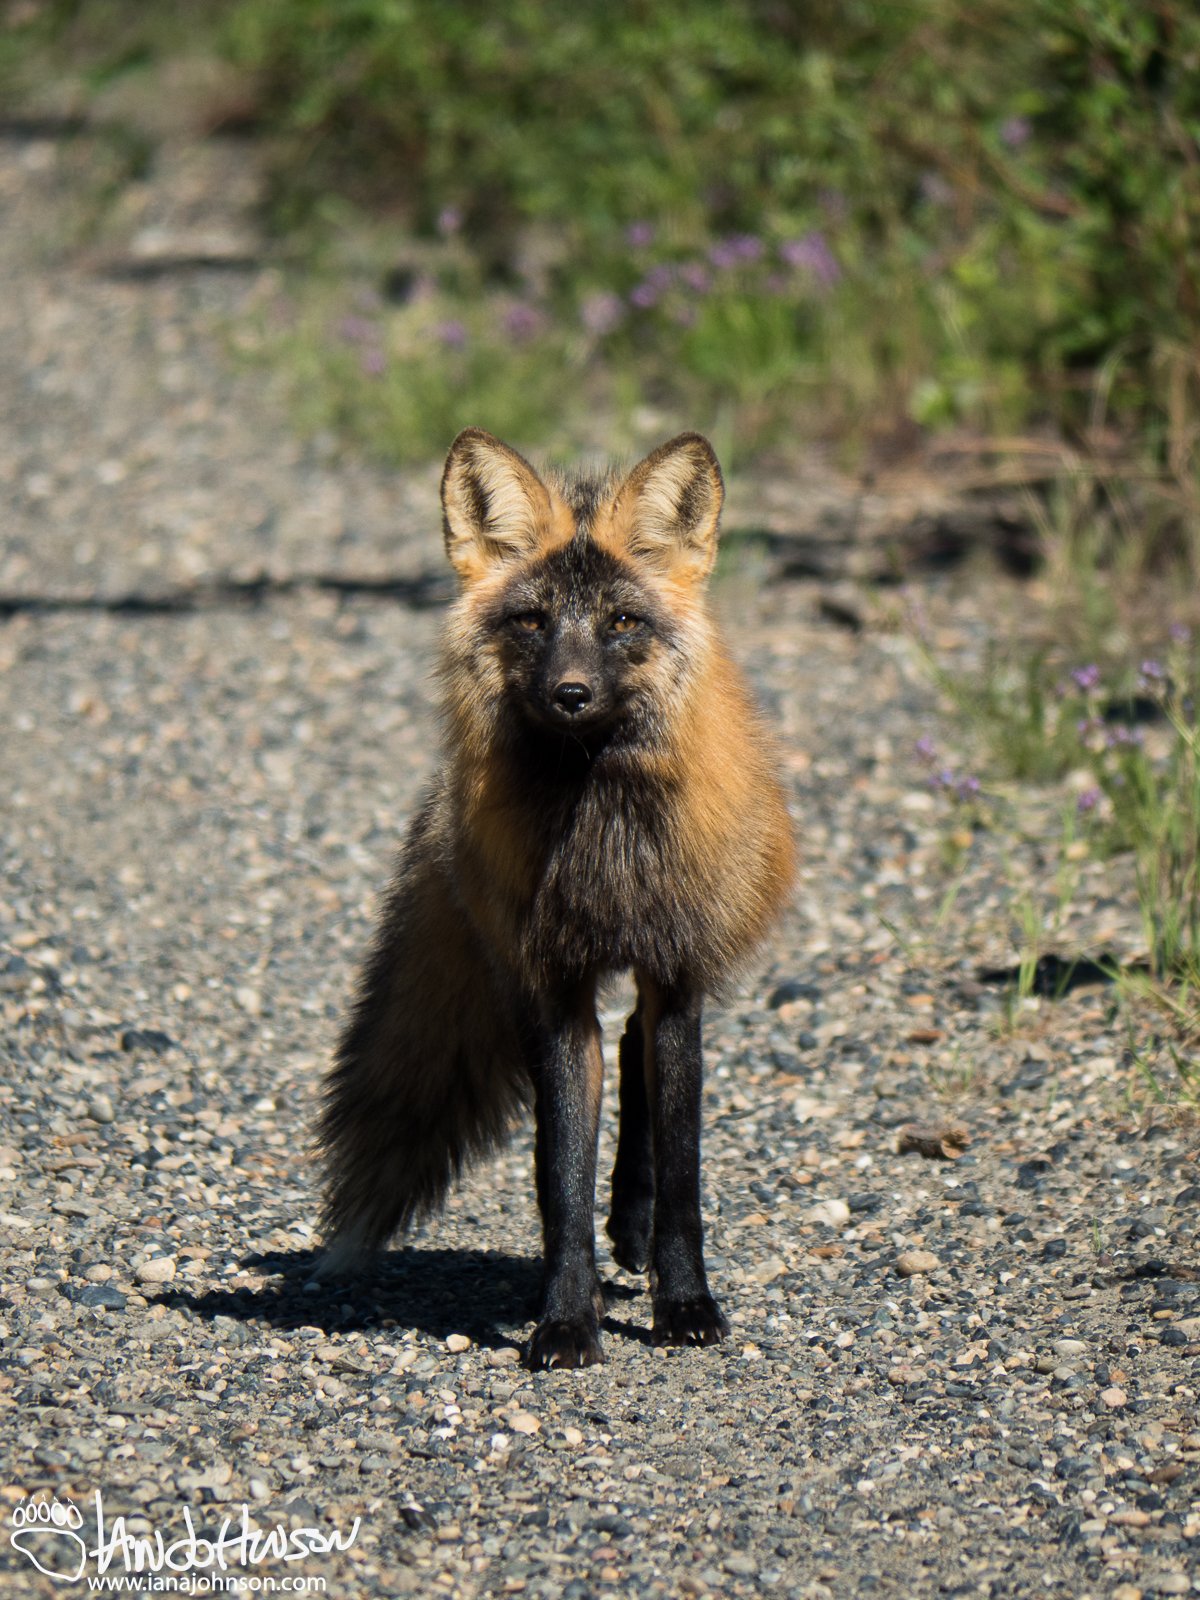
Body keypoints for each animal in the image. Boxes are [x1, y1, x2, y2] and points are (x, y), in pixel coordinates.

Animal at [318, 427, 796, 1368]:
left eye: (621, 623)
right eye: (532, 621)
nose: (570, 693)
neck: (597, 846)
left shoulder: (678, 975)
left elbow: (683, 1172)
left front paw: (685, 1304)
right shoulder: (550, 992)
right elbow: (560, 1180)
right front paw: (567, 1320)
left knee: (643, 1059)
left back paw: (636, 1230)